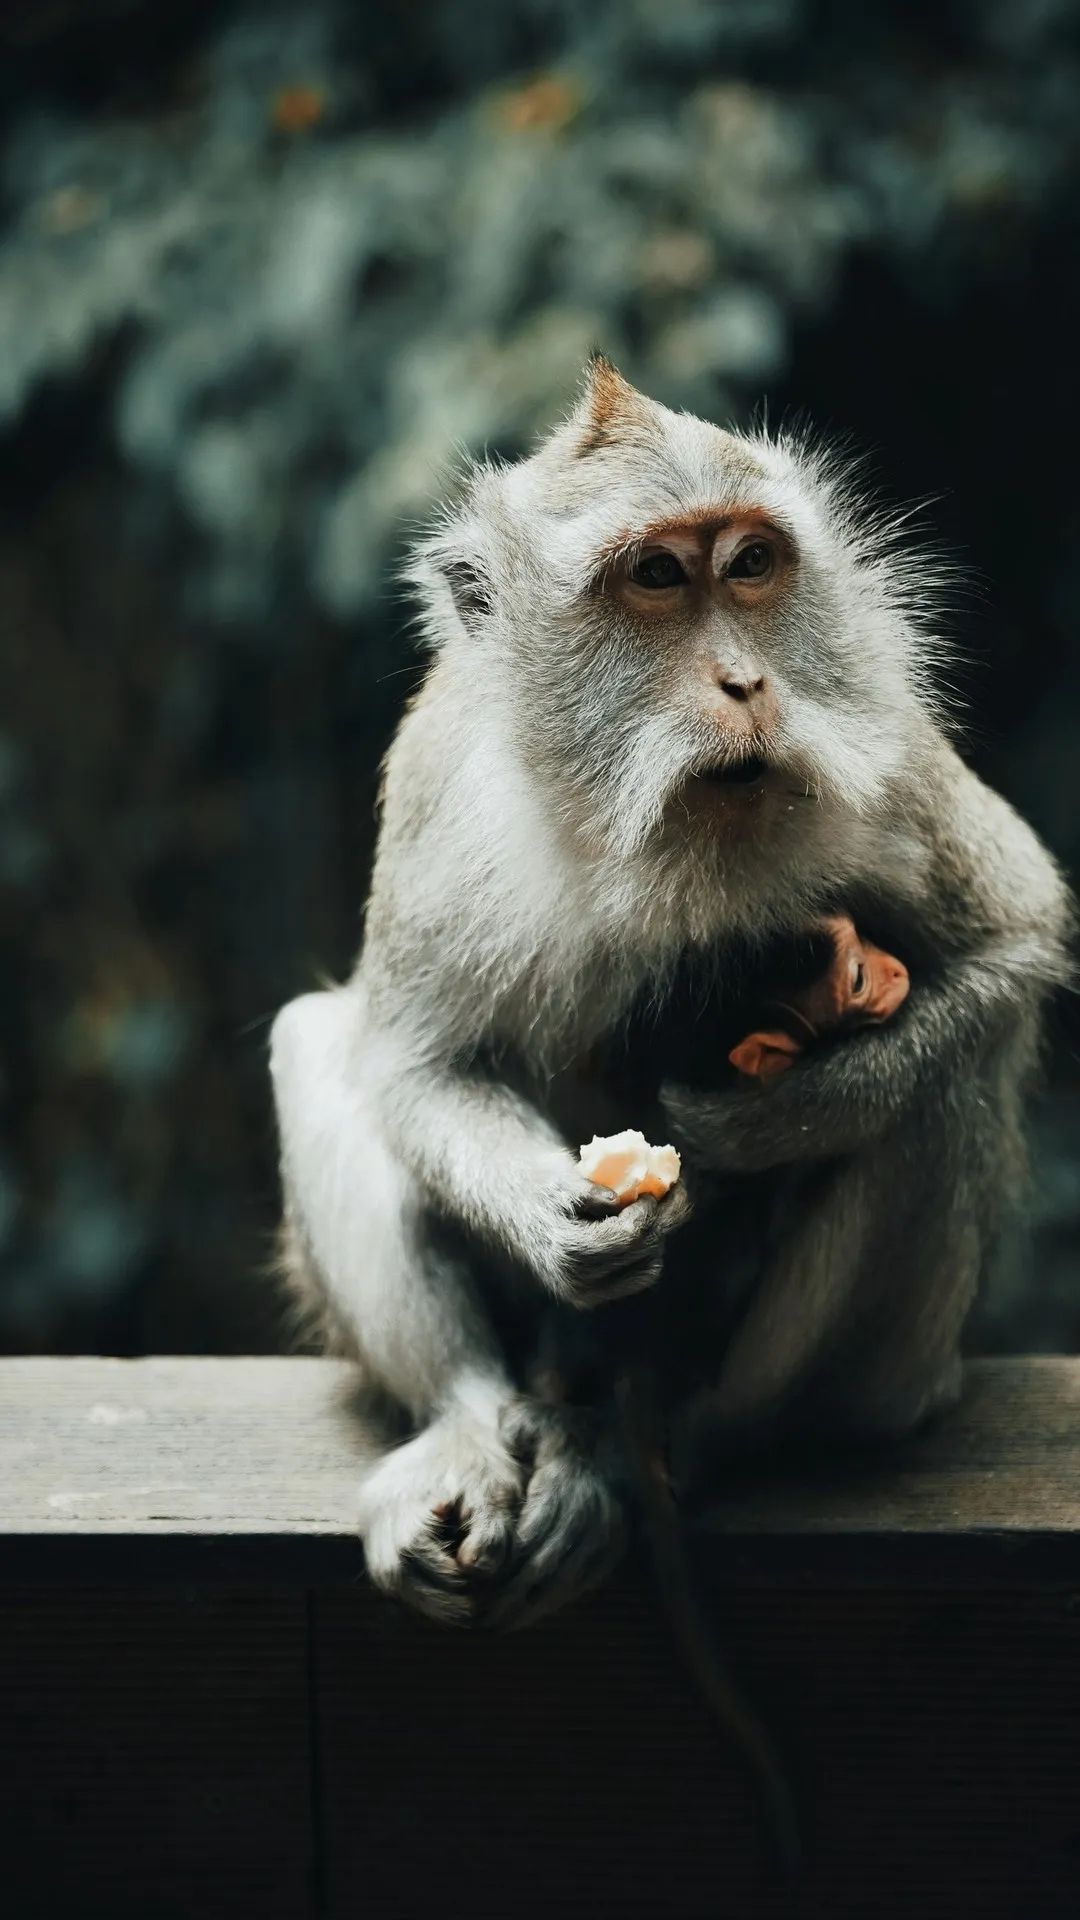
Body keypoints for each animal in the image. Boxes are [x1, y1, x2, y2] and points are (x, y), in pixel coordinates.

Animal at [269, 355, 1071, 1632]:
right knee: (315, 1041)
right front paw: (558, 1221)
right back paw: (468, 1424)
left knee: (942, 1092)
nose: (747, 679)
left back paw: (686, 1441)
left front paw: (766, 1123)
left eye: (750, 563)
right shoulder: (445, 781)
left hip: (883, 1385)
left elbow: (1017, 937)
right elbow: (416, 1061)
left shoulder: (885, 749)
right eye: (655, 576)